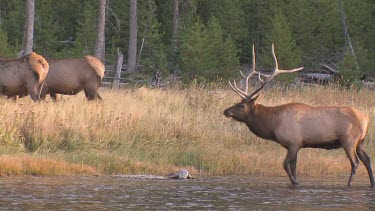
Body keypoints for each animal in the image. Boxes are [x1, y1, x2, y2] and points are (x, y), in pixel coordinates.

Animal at [225, 44, 374, 186]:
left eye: (242, 106)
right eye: (237, 102)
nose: (225, 111)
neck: (273, 125)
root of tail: (366, 118)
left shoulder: (293, 143)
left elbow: (285, 165)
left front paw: (295, 181)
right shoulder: (297, 145)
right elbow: (294, 166)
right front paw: (295, 180)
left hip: (348, 140)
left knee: (355, 162)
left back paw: (349, 184)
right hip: (360, 141)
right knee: (367, 159)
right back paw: (371, 183)